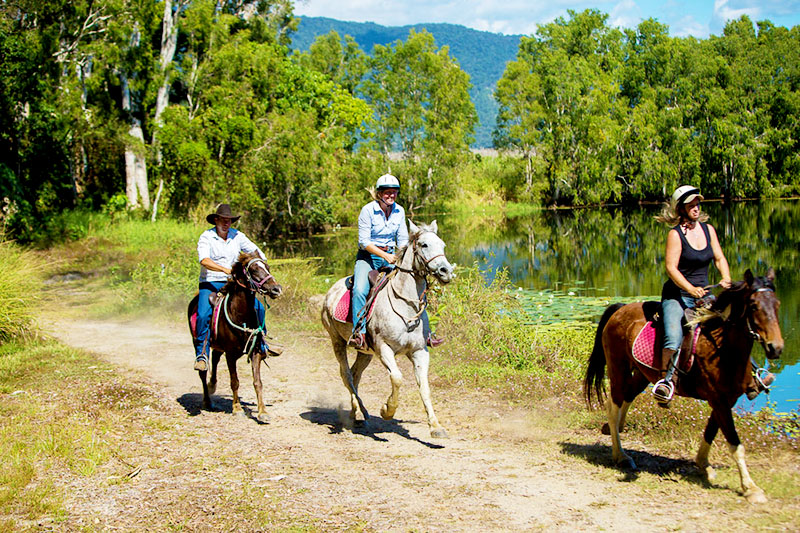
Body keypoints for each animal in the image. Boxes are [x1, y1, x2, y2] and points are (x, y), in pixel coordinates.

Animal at [186, 251, 282, 422]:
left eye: (267, 267)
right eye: (254, 270)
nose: (276, 289)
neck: (240, 315)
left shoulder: (256, 351)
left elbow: (258, 382)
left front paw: (262, 412)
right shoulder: (230, 354)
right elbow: (234, 381)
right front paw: (237, 408)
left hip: (218, 346)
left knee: (215, 359)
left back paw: (212, 385)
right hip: (198, 342)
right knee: (203, 370)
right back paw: (207, 401)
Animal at [320, 219, 456, 436]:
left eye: (442, 245)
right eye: (424, 245)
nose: (446, 271)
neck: (406, 307)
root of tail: (331, 291)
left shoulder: (420, 351)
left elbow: (424, 387)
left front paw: (436, 426)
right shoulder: (384, 349)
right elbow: (397, 378)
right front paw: (387, 410)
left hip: (364, 352)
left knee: (355, 374)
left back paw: (355, 413)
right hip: (337, 342)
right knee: (346, 375)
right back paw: (362, 412)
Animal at [580, 268, 780, 500]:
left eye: (777, 305)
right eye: (754, 306)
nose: (776, 348)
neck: (721, 347)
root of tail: (620, 309)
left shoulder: (725, 400)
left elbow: (710, 432)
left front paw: (704, 466)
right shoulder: (718, 400)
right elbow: (735, 444)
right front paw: (751, 488)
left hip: (641, 374)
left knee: (626, 399)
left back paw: (613, 431)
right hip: (618, 368)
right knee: (613, 405)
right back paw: (620, 455)